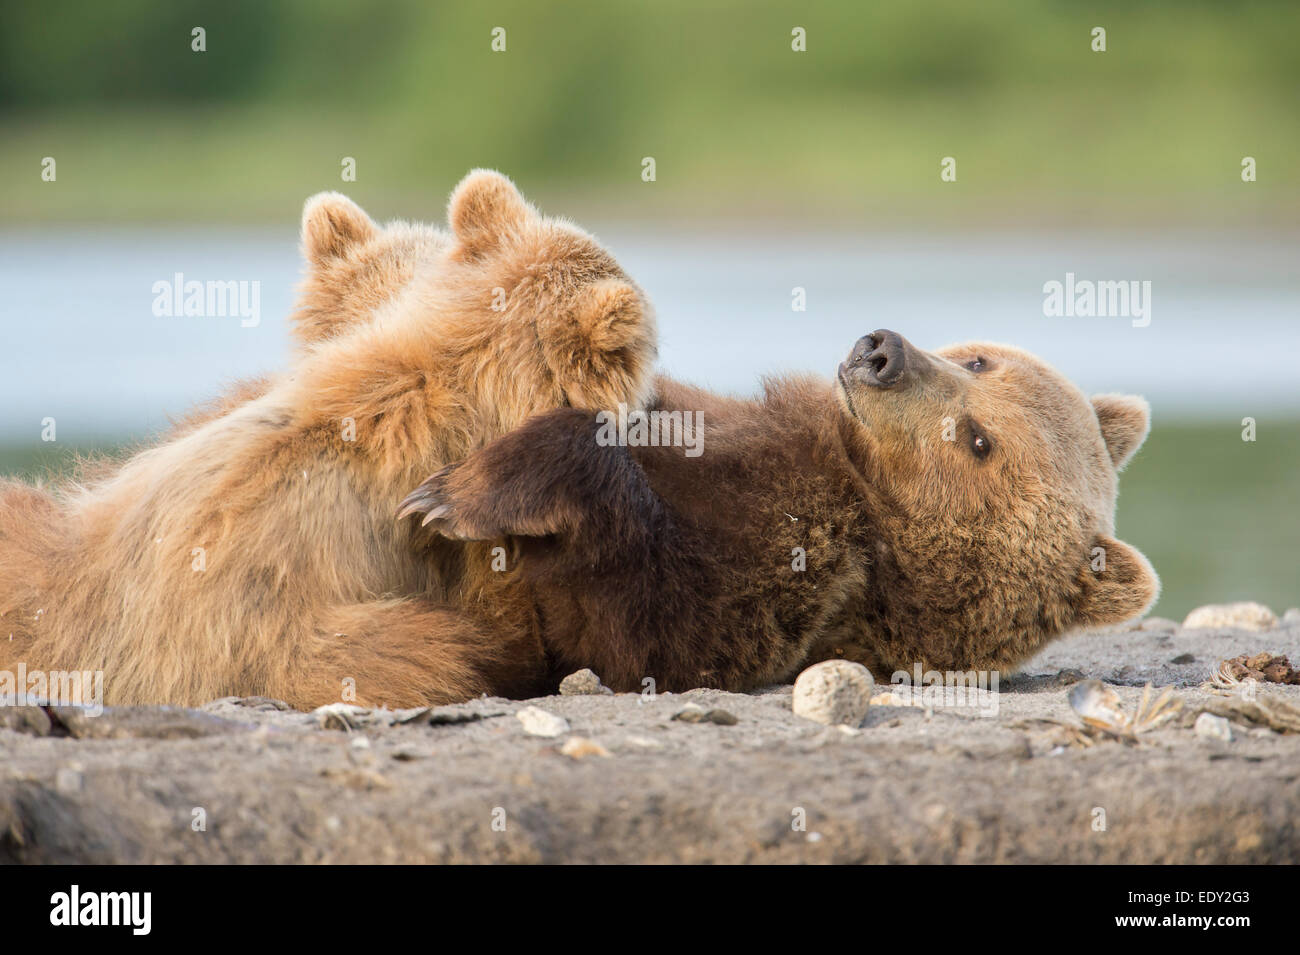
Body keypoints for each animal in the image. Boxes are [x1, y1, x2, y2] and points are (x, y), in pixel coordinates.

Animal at [396, 329, 1158, 693]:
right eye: (979, 363)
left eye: (979, 441)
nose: (882, 352)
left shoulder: (803, 557)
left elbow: (646, 621)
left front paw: (455, 494)